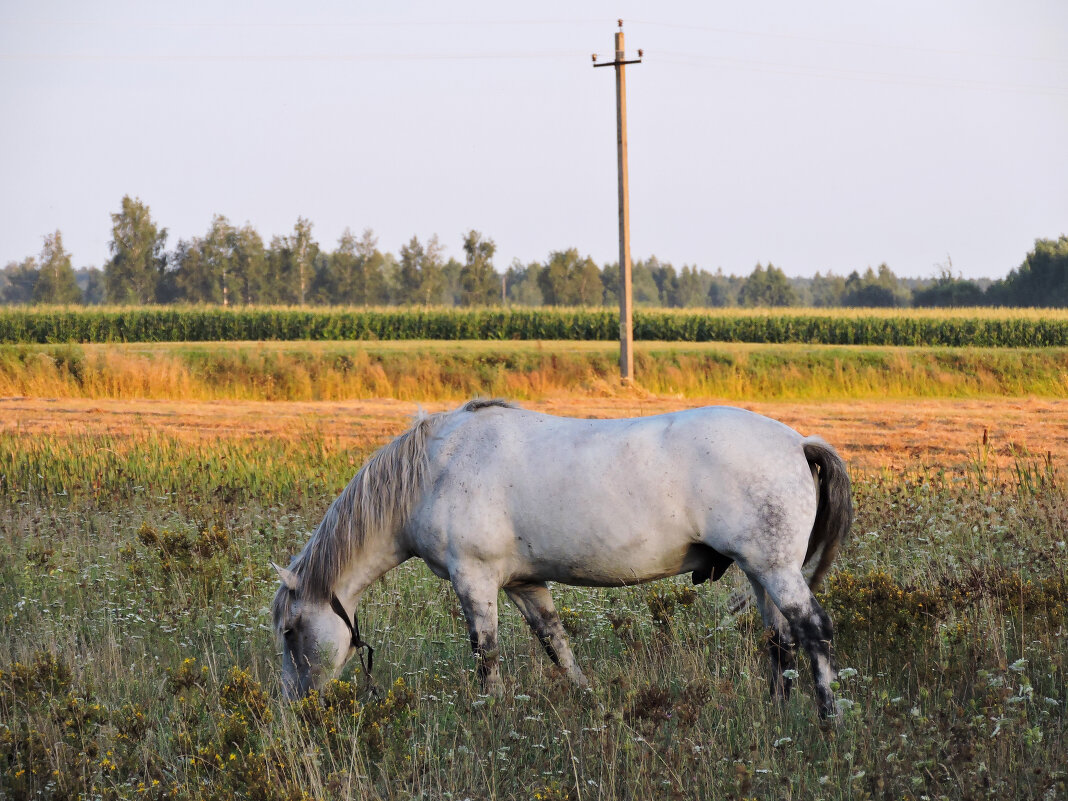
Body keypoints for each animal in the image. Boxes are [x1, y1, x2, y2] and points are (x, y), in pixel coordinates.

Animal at [273, 401, 850, 721]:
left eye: (289, 631)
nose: (293, 708)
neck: (437, 467)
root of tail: (799, 443)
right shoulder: (524, 584)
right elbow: (557, 644)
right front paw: (589, 700)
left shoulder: (474, 578)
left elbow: (486, 653)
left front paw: (492, 715)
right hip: (758, 573)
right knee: (780, 640)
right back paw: (778, 715)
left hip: (775, 570)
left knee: (814, 630)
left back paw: (827, 721)